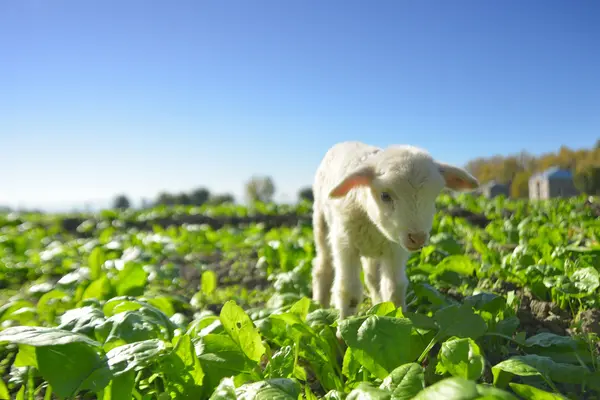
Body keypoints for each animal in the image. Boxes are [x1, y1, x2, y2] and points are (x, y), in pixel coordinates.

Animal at [312, 141, 480, 318]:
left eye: (434, 196)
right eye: (385, 196)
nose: (418, 238)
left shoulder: (395, 250)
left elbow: (394, 287)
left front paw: (394, 315)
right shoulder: (345, 244)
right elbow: (349, 290)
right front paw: (344, 323)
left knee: (372, 278)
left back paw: (376, 304)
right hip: (321, 222)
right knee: (323, 267)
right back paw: (319, 306)